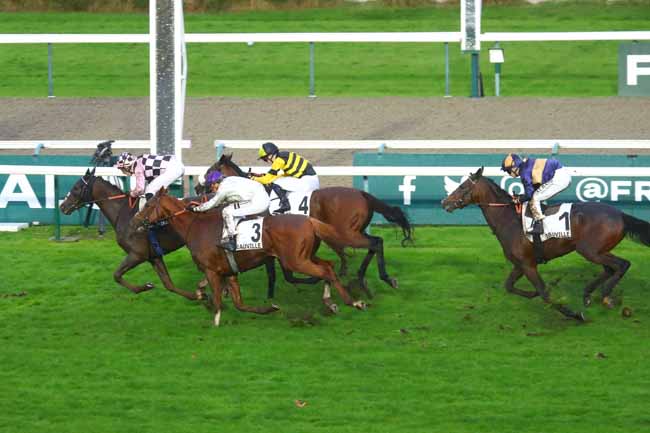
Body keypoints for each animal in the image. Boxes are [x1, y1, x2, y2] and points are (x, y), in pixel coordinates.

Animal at [59, 169, 199, 300]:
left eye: (76, 188)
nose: (62, 206)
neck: (123, 213)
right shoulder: (154, 256)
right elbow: (169, 284)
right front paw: (197, 296)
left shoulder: (137, 254)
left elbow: (116, 275)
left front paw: (145, 286)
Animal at [130, 187, 370, 326]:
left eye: (148, 205)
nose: (134, 221)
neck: (195, 226)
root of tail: (309, 220)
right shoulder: (229, 271)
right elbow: (239, 304)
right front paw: (270, 308)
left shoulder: (211, 270)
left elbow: (218, 299)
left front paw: (215, 320)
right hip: (305, 256)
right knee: (328, 266)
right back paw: (333, 301)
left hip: (296, 260)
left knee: (325, 271)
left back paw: (353, 301)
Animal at [195, 153, 412, 296]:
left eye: (210, 170)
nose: (197, 187)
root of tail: (362, 194)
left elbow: (278, 272)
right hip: (351, 232)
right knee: (373, 244)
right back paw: (361, 278)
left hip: (347, 233)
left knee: (375, 243)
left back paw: (382, 277)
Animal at [438, 167, 644, 322]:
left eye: (463, 186)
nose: (444, 202)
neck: (509, 220)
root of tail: (621, 214)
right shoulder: (520, 264)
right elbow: (509, 286)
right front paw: (532, 294)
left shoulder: (528, 264)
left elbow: (544, 292)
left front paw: (574, 314)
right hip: (598, 251)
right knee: (610, 268)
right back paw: (587, 294)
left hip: (590, 251)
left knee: (622, 264)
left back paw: (605, 295)